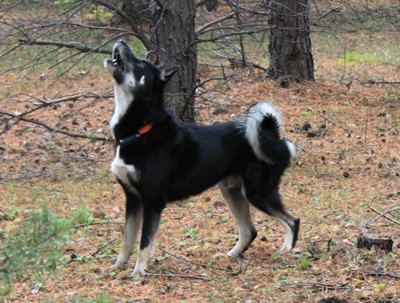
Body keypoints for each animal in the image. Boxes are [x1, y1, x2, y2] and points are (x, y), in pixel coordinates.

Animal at [104, 39, 298, 276]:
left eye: (140, 63)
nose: (122, 41)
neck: (141, 130)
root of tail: (275, 138)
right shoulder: (132, 199)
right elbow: (127, 239)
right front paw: (118, 267)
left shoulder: (152, 200)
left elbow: (144, 242)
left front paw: (139, 272)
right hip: (231, 192)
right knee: (250, 231)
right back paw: (231, 255)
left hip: (258, 192)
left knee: (292, 221)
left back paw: (285, 251)